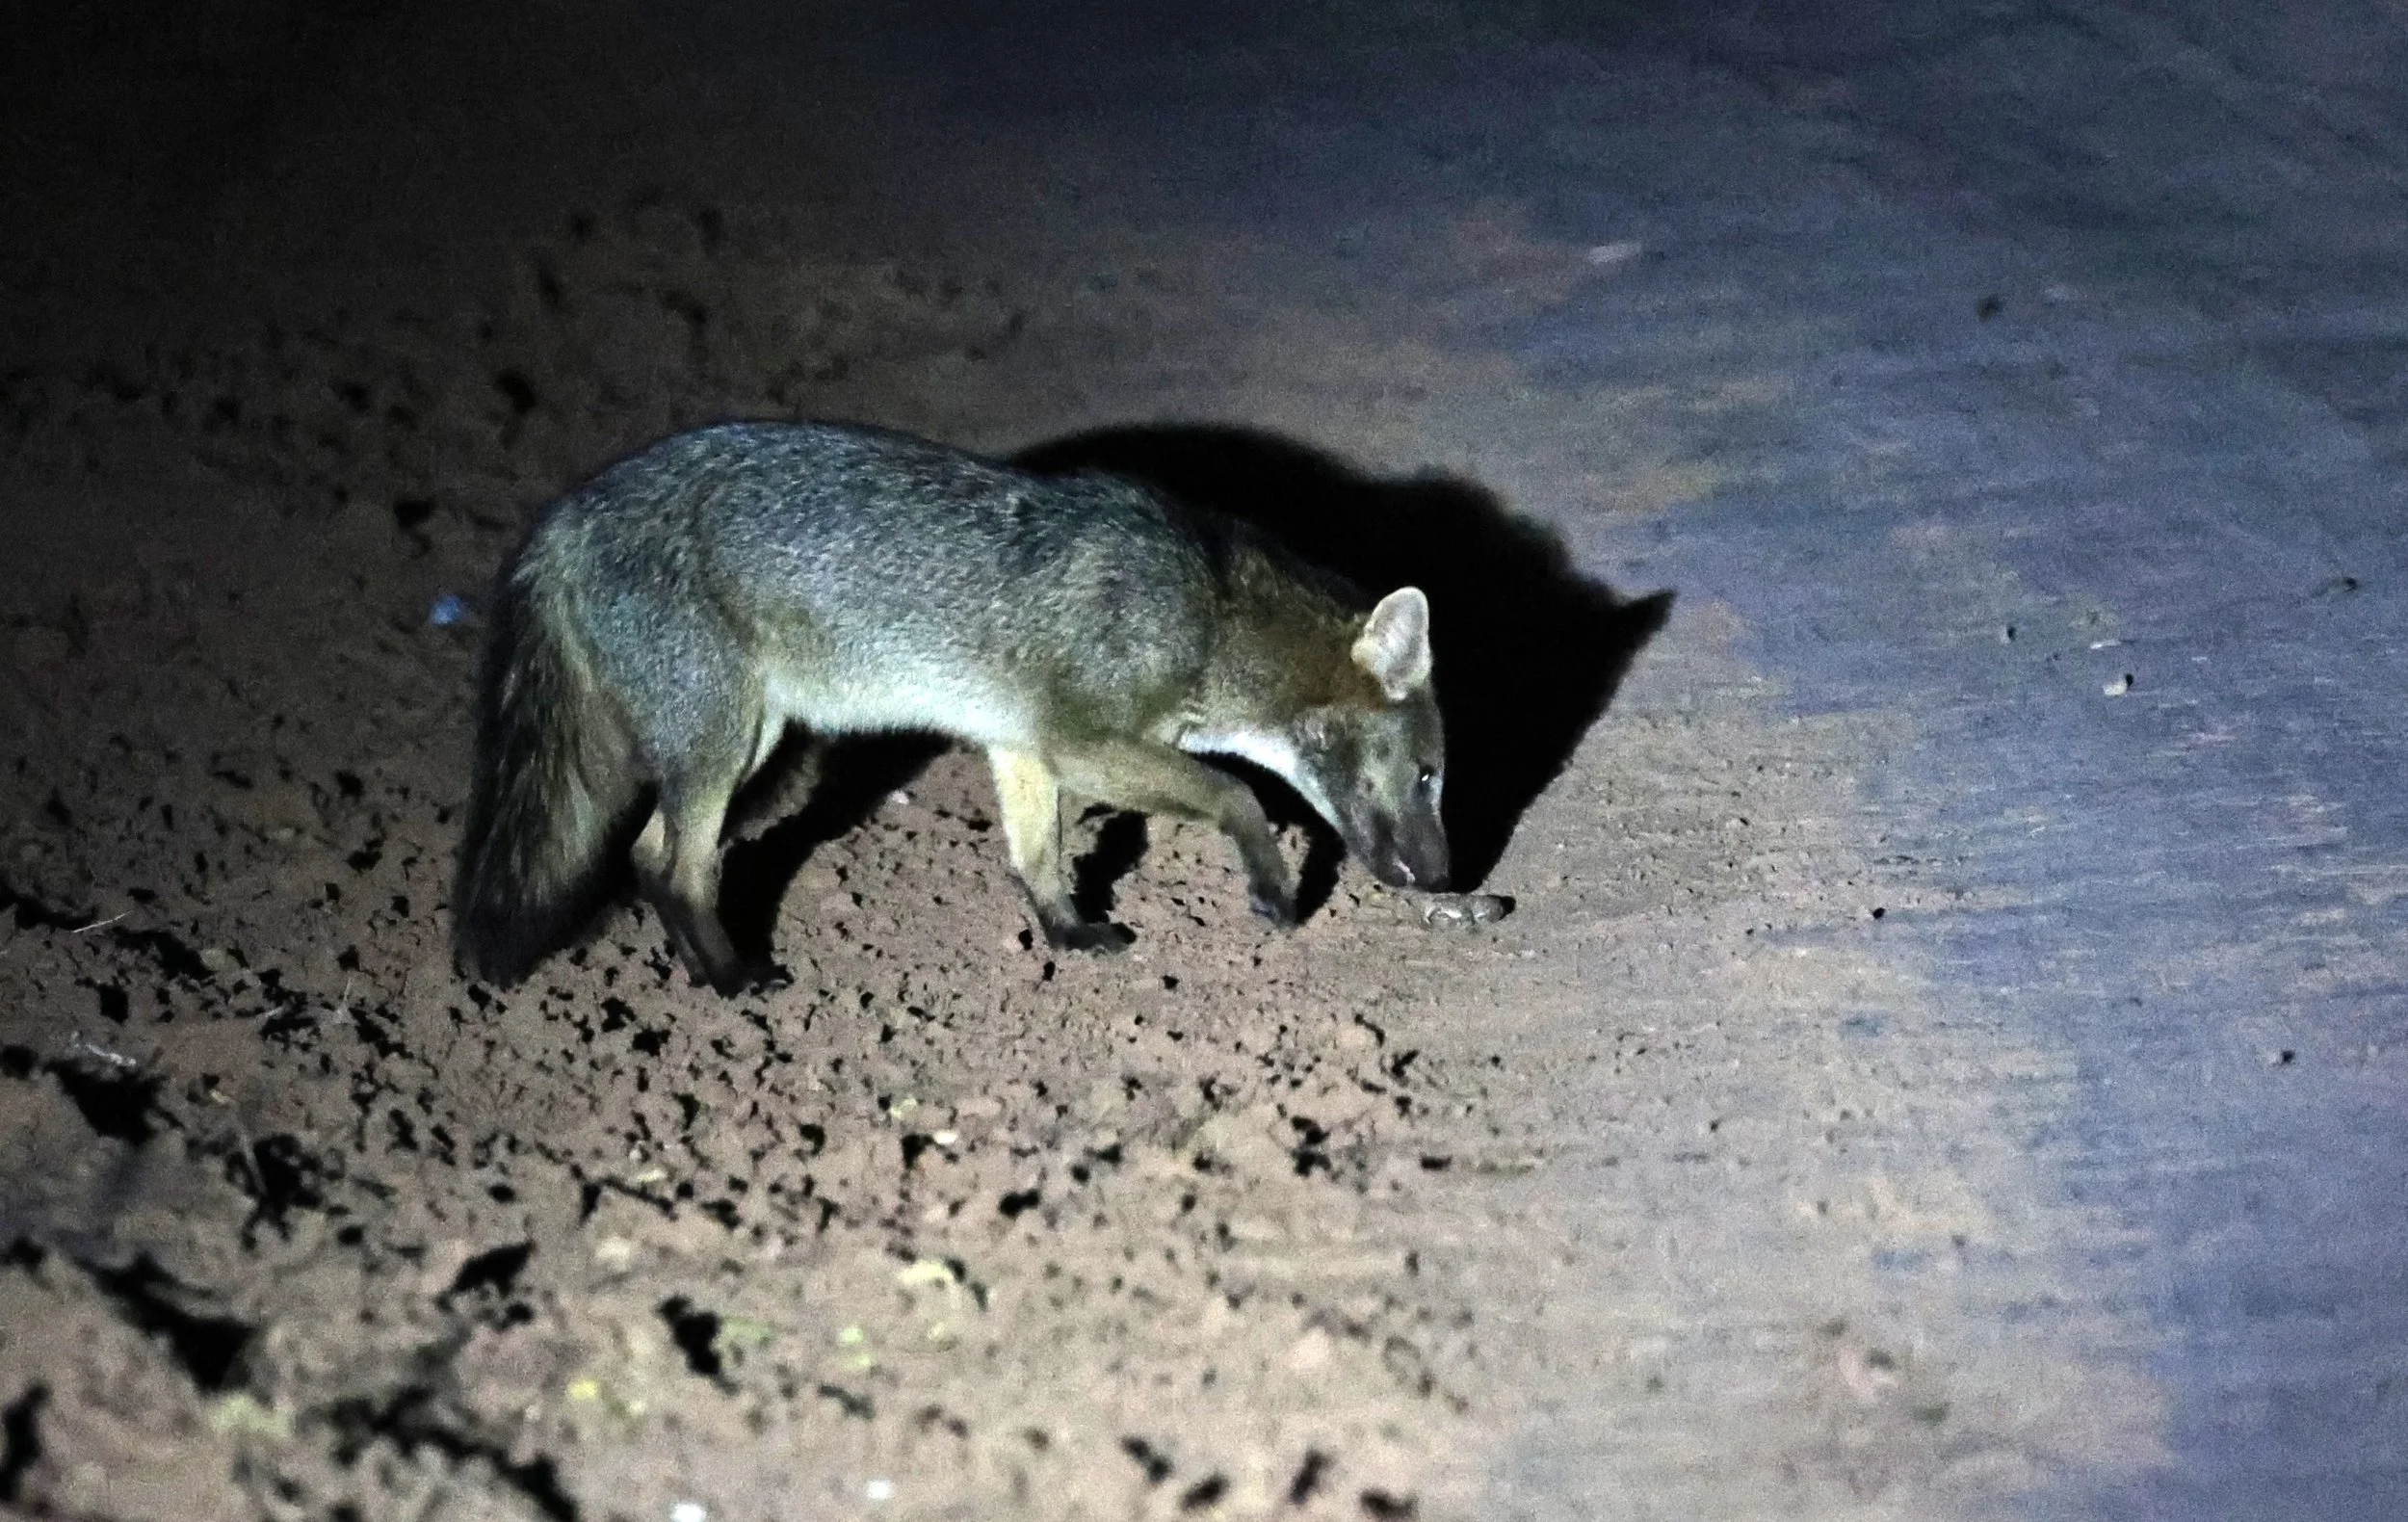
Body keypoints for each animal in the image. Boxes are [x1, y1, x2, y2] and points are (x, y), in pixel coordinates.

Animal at [453, 420, 1449, 994]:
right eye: (1432, 776)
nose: (1447, 881)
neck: (1210, 604)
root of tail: (563, 517)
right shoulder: (1083, 741)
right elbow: (1237, 793)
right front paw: (1273, 888)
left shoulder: (1021, 747)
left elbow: (1036, 857)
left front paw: (1068, 935)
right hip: (720, 749)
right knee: (673, 866)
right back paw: (734, 979)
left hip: (746, 743)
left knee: (645, 855)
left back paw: (706, 976)